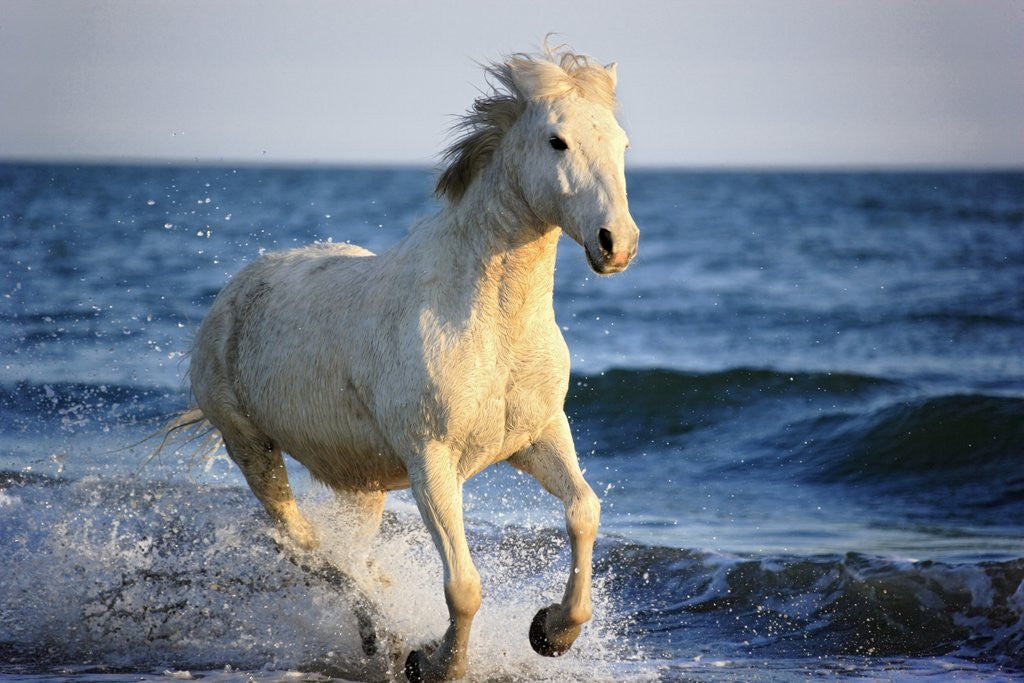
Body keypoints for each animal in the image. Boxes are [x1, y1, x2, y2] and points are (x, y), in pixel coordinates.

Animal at [180, 45, 634, 679]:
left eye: (622, 143)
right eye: (557, 141)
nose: (617, 243)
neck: (491, 323)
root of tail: (232, 292)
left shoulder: (539, 436)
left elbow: (583, 510)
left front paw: (551, 631)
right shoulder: (431, 462)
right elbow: (463, 587)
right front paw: (436, 664)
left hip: (361, 483)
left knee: (345, 552)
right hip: (251, 448)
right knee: (306, 549)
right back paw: (387, 638)